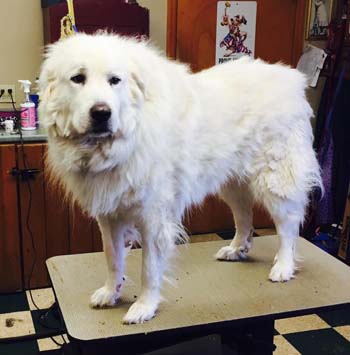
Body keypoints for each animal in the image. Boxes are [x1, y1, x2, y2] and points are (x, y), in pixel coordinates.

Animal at [39, 33, 322, 326]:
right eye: (78, 78)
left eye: (114, 80)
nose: (101, 112)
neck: (131, 133)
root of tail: (291, 79)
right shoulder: (110, 215)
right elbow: (112, 258)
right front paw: (110, 292)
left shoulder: (154, 219)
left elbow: (149, 269)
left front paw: (144, 306)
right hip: (232, 185)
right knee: (244, 218)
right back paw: (236, 249)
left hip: (275, 181)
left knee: (288, 226)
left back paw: (284, 266)